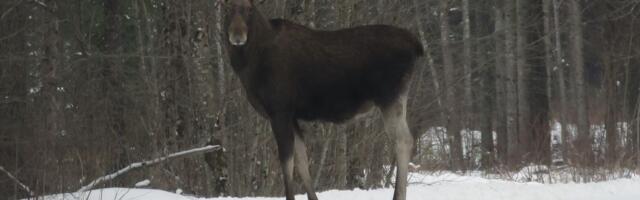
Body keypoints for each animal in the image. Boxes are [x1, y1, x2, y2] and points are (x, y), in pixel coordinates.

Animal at [221, 0, 424, 200]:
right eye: (227, 6)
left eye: (249, 8)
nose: (237, 34)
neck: (249, 66)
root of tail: (416, 44)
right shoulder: (292, 115)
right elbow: (302, 159)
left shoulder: (279, 110)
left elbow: (287, 161)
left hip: (390, 96)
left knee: (404, 140)